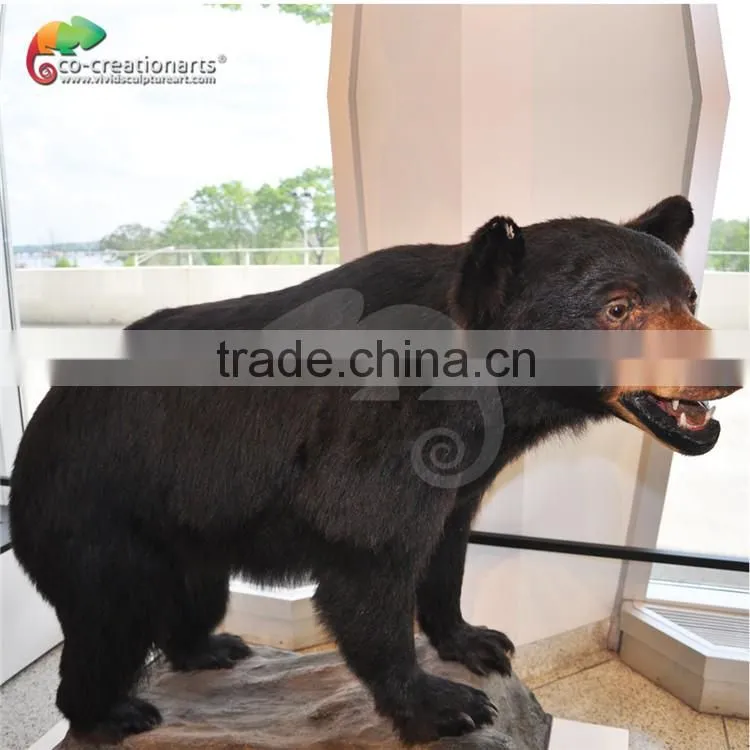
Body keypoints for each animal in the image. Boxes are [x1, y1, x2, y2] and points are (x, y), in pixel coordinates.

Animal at [8, 195, 740, 746]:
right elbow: (365, 558)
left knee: (193, 599)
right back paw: (112, 713)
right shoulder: (378, 433)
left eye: (689, 298)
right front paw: (443, 703)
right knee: (109, 621)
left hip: (186, 530)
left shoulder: (461, 465)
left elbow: (447, 544)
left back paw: (209, 649)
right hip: (95, 518)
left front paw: (475, 640)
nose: (723, 370)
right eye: (618, 308)